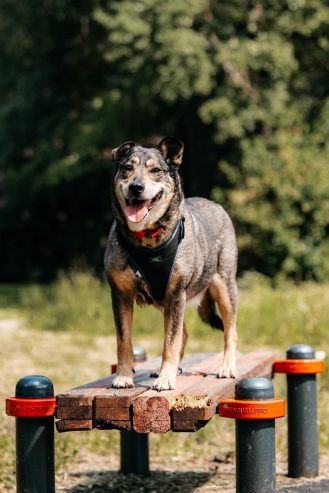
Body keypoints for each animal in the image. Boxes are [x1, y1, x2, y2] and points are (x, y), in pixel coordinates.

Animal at [105, 136, 238, 390]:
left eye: (156, 170)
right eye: (127, 168)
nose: (136, 187)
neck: (146, 238)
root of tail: (216, 204)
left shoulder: (176, 293)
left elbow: (170, 340)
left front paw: (166, 379)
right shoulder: (120, 294)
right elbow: (123, 340)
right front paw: (124, 376)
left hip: (224, 287)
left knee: (230, 331)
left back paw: (227, 367)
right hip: (162, 301)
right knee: (184, 333)